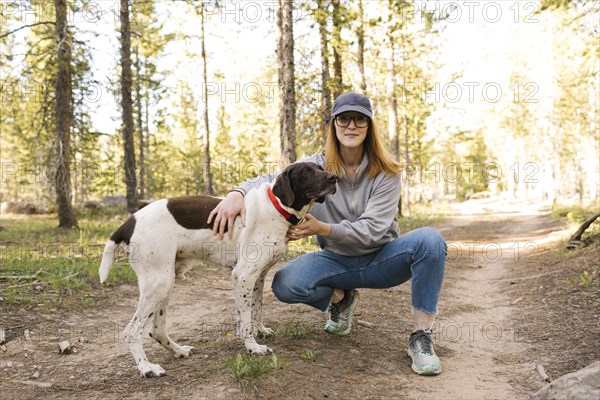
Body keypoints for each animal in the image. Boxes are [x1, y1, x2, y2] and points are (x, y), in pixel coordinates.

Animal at [101, 161, 340, 376]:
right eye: (306, 171)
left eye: (320, 168)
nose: (333, 178)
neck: (277, 208)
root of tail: (128, 222)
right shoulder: (243, 275)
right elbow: (245, 320)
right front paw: (252, 347)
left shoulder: (259, 276)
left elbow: (257, 309)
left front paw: (261, 331)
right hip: (158, 283)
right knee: (131, 332)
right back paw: (147, 368)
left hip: (165, 282)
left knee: (156, 329)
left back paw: (179, 351)